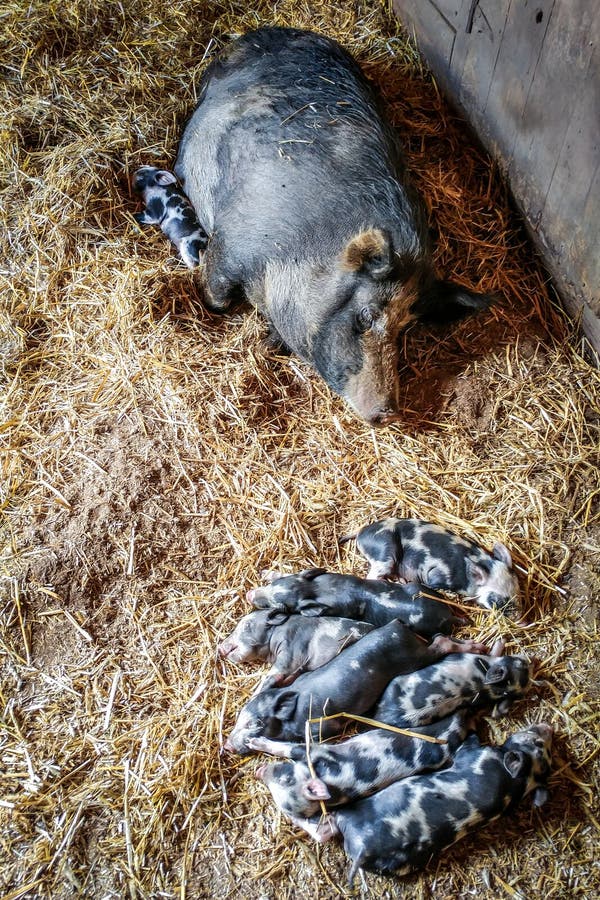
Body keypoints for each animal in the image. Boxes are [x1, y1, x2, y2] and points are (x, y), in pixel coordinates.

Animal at [176, 26, 490, 424]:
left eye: (406, 327)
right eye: (367, 316)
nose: (387, 411)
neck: (301, 246)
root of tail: (271, 31)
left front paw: (267, 343)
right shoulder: (231, 244)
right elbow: (217, 294)